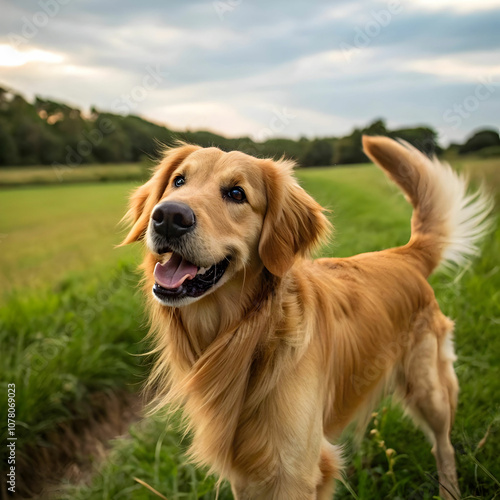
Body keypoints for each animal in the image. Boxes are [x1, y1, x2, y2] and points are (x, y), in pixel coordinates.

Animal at [122, 137, 492, 500]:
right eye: (178, 181)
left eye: (237, 194)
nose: (169, 216)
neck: (250, 336)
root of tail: (404, 255)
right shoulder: (245, 471)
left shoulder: (295, 472)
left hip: (428, 388)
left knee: (443, 446)